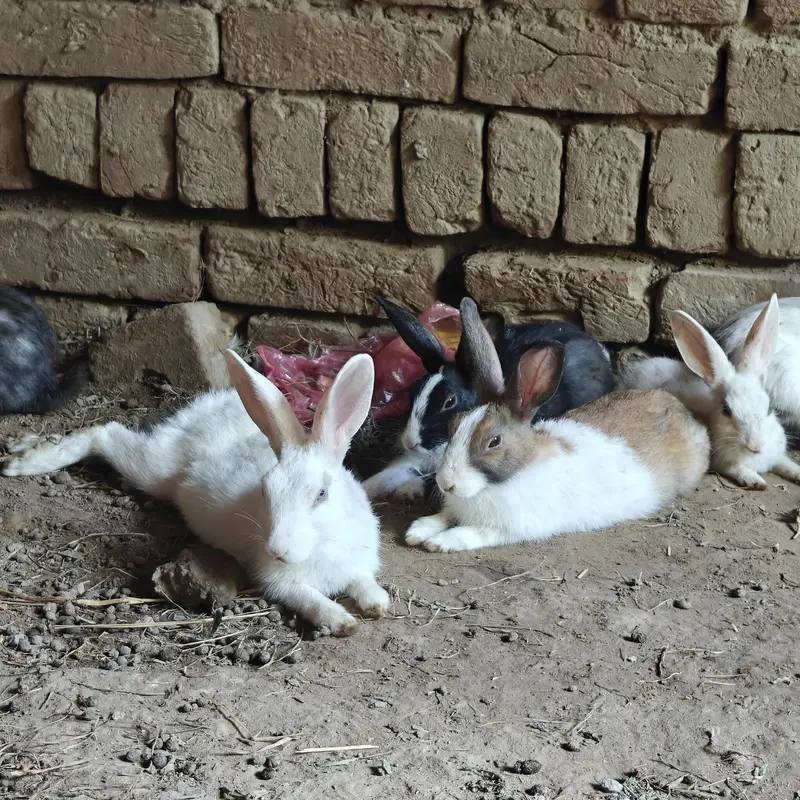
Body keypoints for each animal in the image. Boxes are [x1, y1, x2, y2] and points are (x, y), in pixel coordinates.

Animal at [3, 350, 389, 636]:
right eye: (266, 490)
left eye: (321, 494)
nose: (277, 550)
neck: (325, 543)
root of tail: (203, 408)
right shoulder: (279, 582)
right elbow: (310, 600)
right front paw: (344, 622)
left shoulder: (360, 562)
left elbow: (364, 582)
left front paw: (377, 604)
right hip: (150, 469)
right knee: (103, 433)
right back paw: (24, 462)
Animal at [362, 296, 614, 502]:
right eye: (412, 390)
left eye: (449, 402)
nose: (410, 442)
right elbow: (392, 472)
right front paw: (372, 488)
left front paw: (408, 491)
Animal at [404, 298, 709, 553]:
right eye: (454, 425)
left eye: (494, 441)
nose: (446, 484)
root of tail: (682, 410)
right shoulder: (454, 509)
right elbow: (443, 516)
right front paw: (417, 530)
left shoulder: (506, 528)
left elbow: (470, 533)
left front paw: (440, 543)